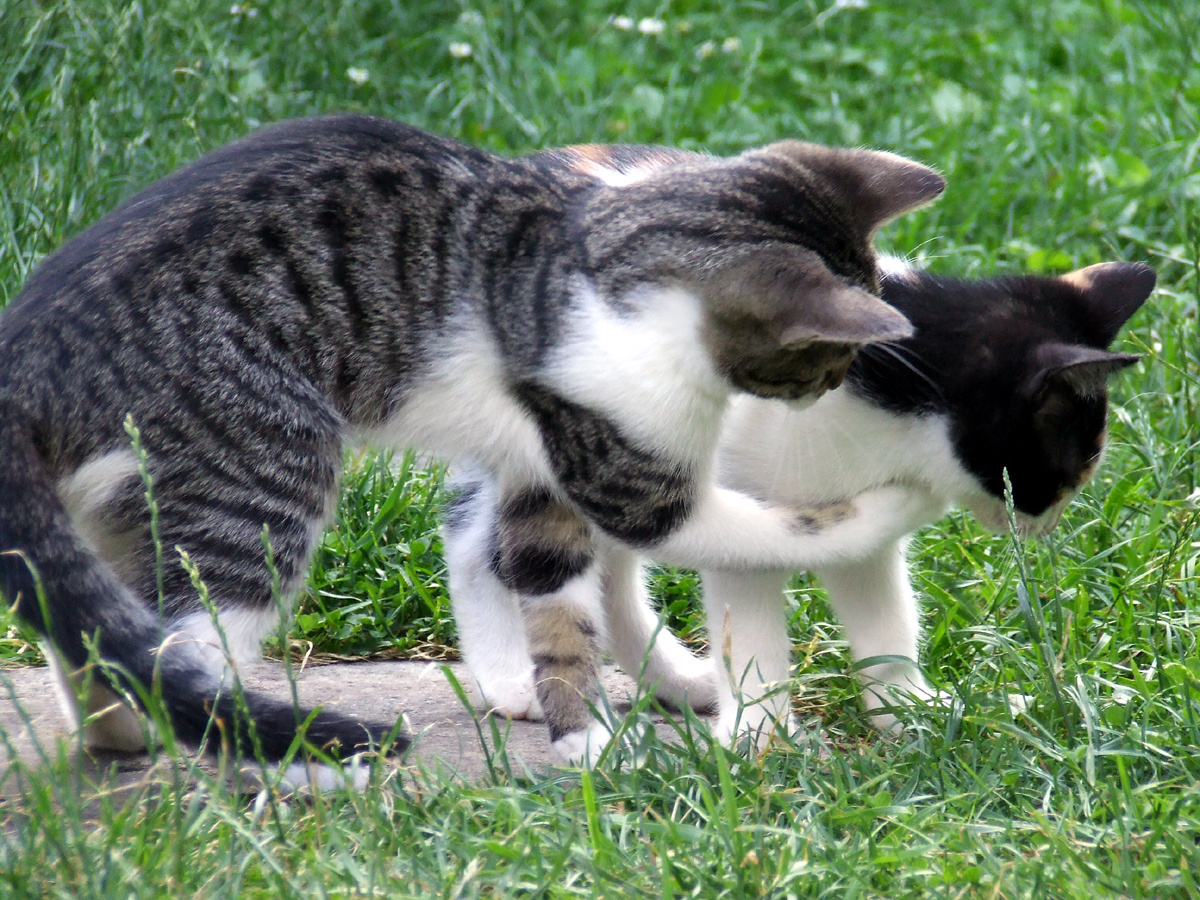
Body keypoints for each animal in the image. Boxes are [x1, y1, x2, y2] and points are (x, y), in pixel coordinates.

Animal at [0, 114, 945, 777]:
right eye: (826, 357)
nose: (827, 389)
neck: (596, 254)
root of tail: (30, 356)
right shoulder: (620, 469)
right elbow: (769, 529)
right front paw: (592, 747)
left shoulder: (549, 471)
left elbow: (556, 593)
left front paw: (578, 714)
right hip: (258, 470)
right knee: (182, 635)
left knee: (101, 620)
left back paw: (121, 734)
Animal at [448, 244, 1152, 748]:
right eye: (1072, 469)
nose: (1047, 527)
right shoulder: (732, 518)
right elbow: (752, 631)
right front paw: (760, 740)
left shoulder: (858, 528)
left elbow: (884, 617)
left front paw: (909, 709)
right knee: (481, 543)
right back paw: (509, 676)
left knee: (610, 574)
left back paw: (676, 680)